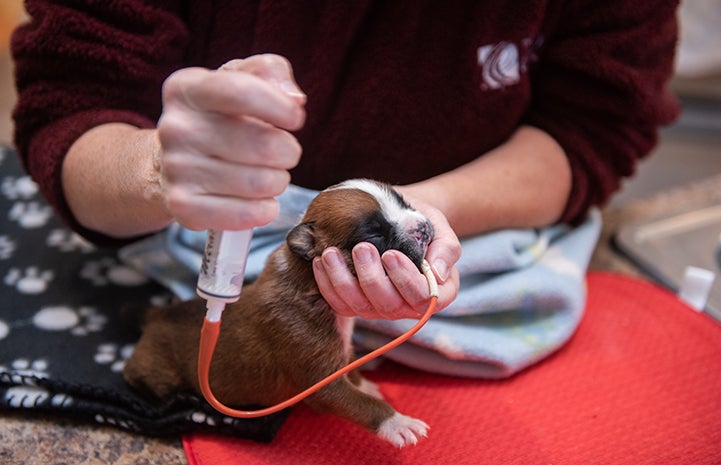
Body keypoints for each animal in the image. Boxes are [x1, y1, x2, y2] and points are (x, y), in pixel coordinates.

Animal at [124, 179, 434, 446]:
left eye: (403, 201)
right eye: (375, 234)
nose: (422, 227)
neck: (308, 279)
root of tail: (155, 315)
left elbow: (352, 371)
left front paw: (365, 384)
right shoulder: (321, 382)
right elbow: (361, 404)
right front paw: (398, 423)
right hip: (158, 372)